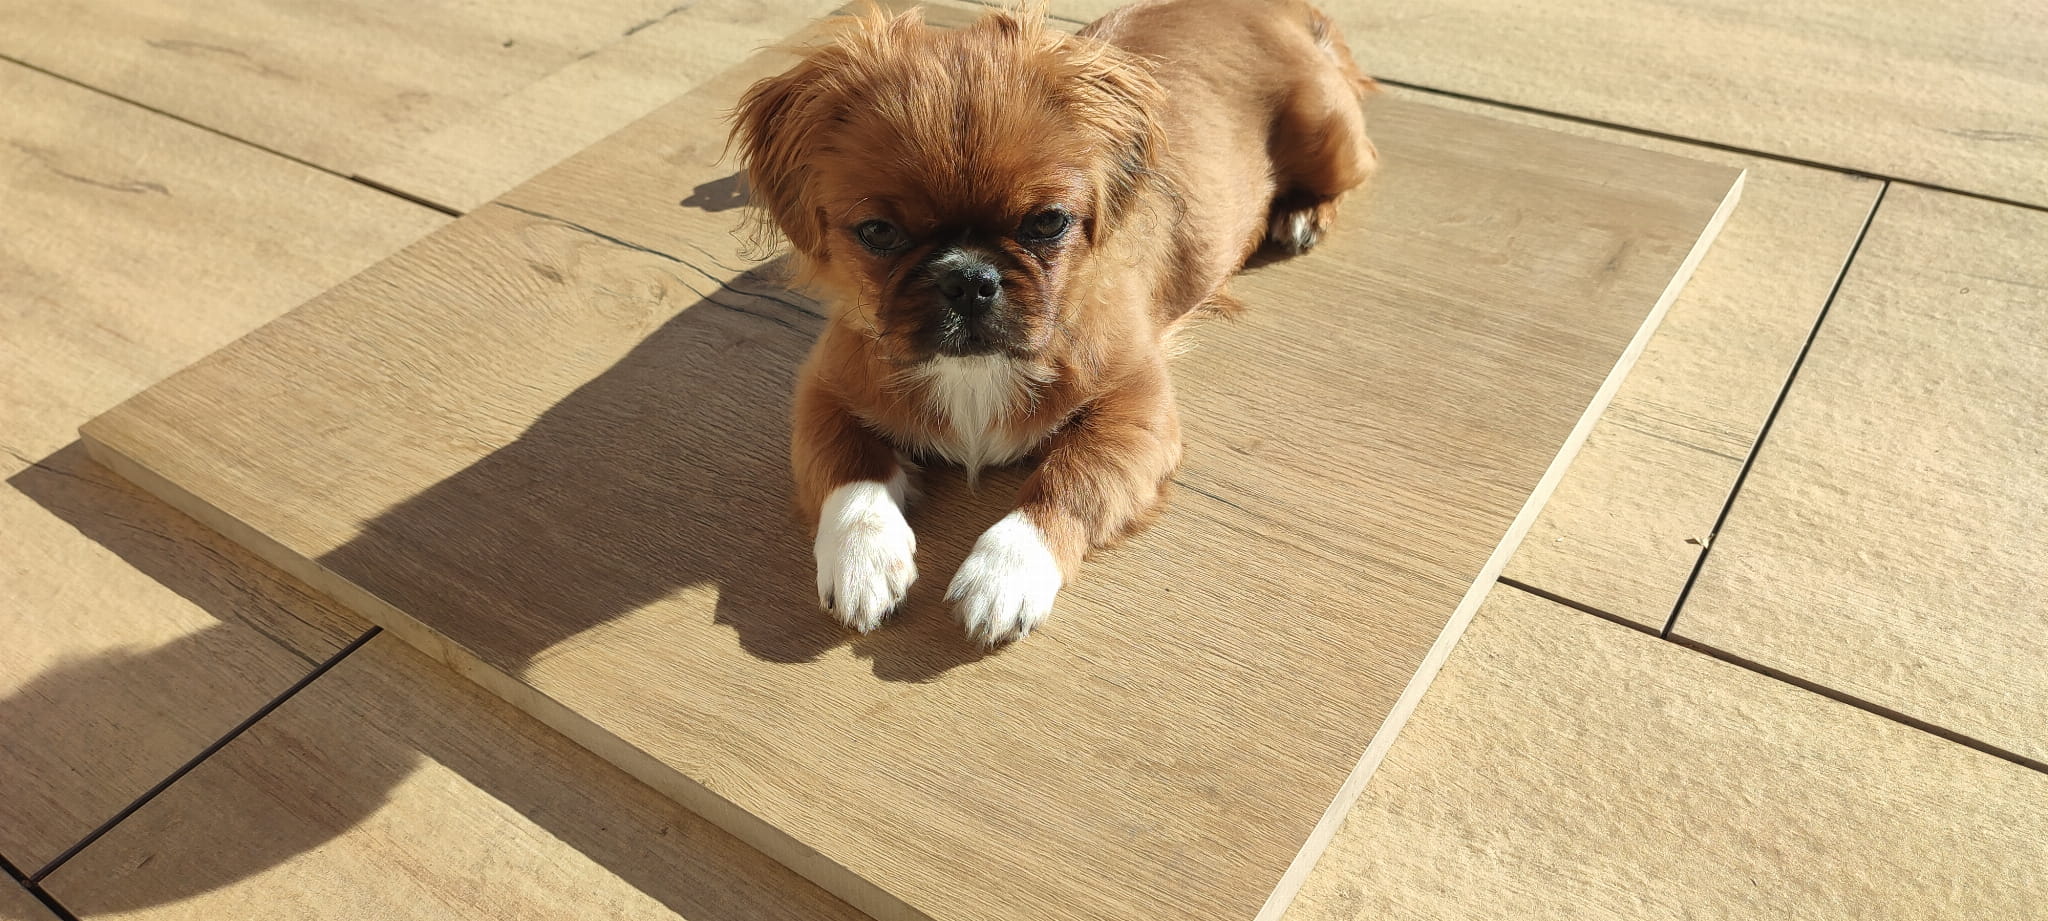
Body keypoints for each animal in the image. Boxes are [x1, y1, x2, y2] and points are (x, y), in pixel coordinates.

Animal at [729, 0, 1377, 645]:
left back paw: (1302, 214)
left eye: (1047, 223)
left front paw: (1005, 573)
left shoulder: (1136, 407)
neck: (978, 368)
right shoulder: (824, 388)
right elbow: (850, 468)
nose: (969, 278)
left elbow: (1069, 479)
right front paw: (861, 559)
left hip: (1331, 141)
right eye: (879, 233)